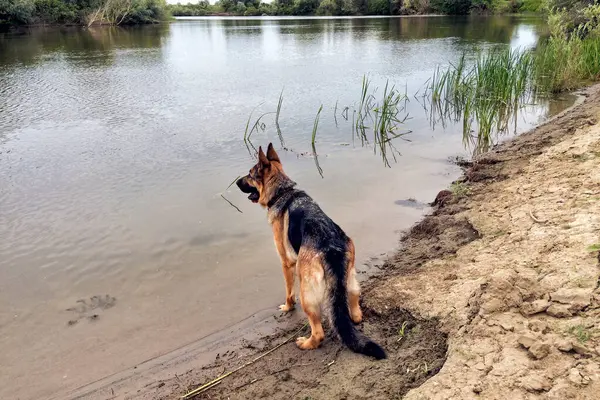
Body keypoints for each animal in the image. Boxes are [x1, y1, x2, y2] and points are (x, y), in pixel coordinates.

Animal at [237, 143, 386, 360]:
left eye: (250, 174)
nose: (236, 182)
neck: (282, 191)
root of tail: (331, 248)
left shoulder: (286, 264)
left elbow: (288, 292)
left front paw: (287, 307)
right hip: (351, 281)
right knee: (355, 314)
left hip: (307, 293)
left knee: (319, 332)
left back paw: (306, 343)